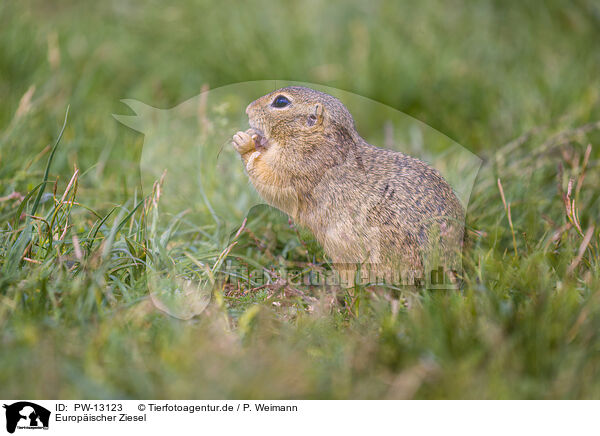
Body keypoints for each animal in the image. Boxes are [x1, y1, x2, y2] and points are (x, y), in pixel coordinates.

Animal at [233, 87, 464, 286]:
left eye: (281, 102)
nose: (247, 109)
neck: (314, 138)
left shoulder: (297, 165)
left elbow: (270, 180)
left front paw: (244, 142)